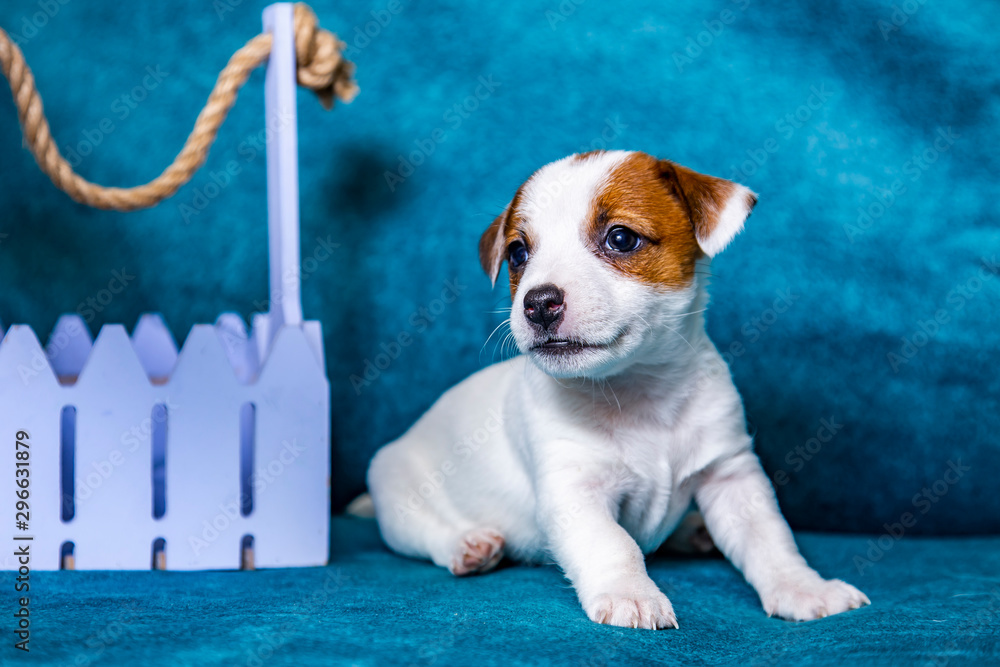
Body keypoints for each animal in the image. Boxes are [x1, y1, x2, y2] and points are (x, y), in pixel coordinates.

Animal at [366, 151, 868, 632]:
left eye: (621, 238)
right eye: (518, 253)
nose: (538, 303)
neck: (638, 391)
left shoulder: (731, 475)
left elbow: (771, 540)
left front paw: (805, 588)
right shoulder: (574, 489)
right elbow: (614, 543)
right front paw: (633, 595)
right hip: (398, 495)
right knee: (424, 534)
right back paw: (467, 544)